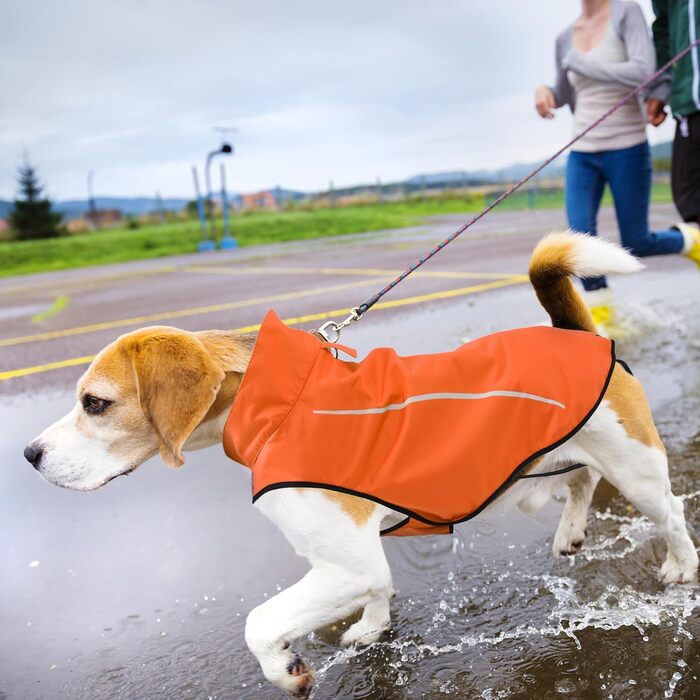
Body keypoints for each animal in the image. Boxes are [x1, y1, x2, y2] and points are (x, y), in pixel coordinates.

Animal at [24, 232, 696, 696]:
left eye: (95, 403)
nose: (30, 455)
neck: (277, 402)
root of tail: (578, 333)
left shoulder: (344, 563)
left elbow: (259, 622)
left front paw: (286, 669)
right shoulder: (357, 556)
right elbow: (379, 586)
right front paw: (372, 627)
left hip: (637, 470)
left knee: (670, 515)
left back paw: (680, 568)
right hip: (555, 462)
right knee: (583, 478)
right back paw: (571, 532)